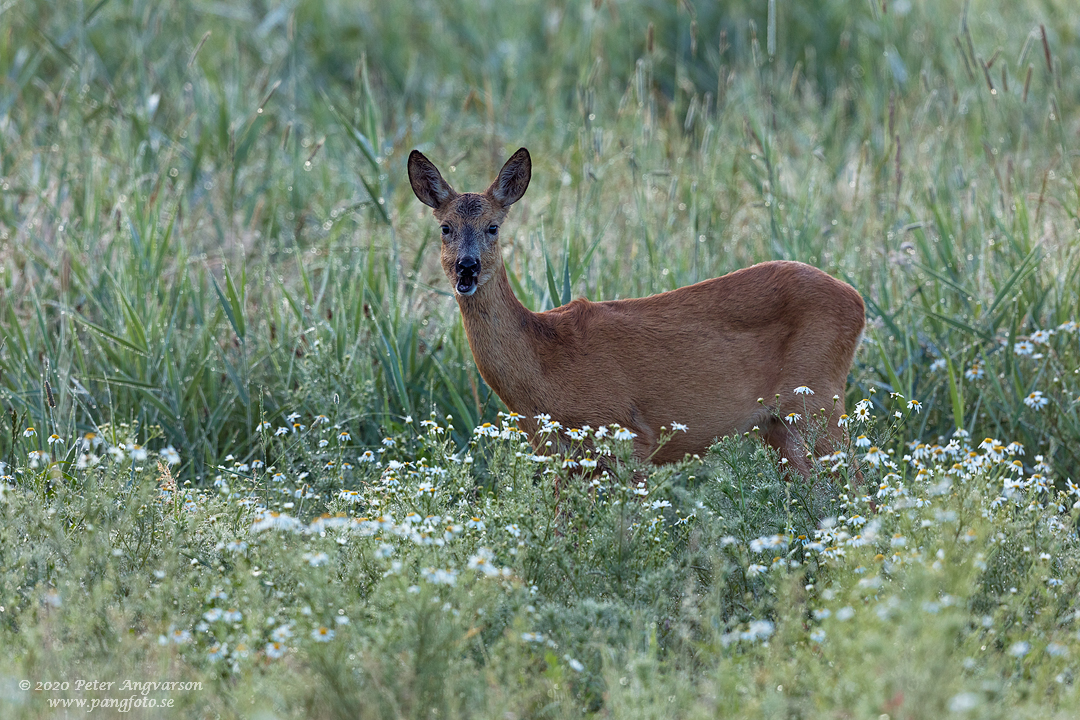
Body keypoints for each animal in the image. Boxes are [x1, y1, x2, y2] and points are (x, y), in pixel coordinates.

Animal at [408, 146, 864, 474]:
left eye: (493, 227)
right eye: (445, 228)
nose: (467, 267)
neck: (543, 363)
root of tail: (856, 300)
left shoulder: (629, 437)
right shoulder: (556, 452)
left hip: (817, 398)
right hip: (780, 424)